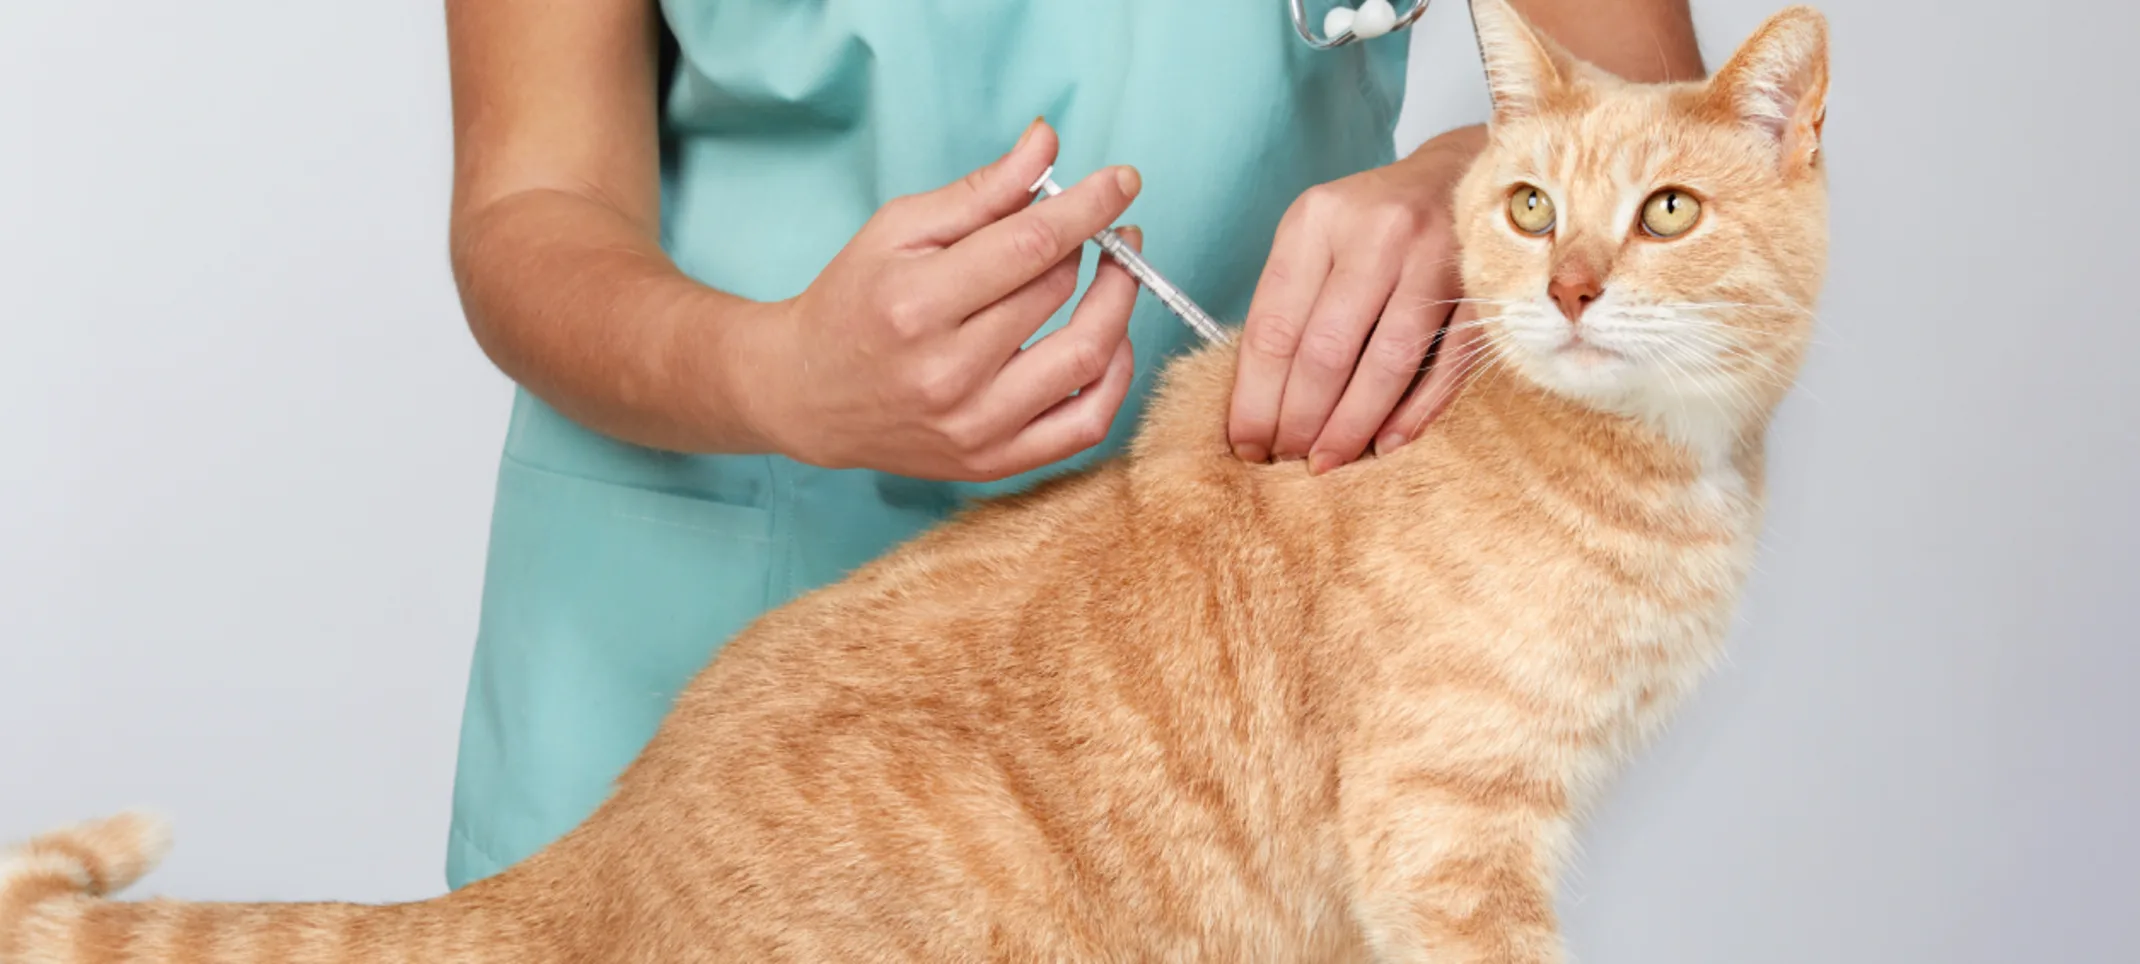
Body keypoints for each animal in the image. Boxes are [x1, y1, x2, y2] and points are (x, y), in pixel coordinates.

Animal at [0, 3, 1831, 959]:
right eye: (1528, 208)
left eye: (1664, 212)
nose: (1572, 284)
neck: (1657, 465)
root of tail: (602, 838)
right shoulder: (1447, 835)